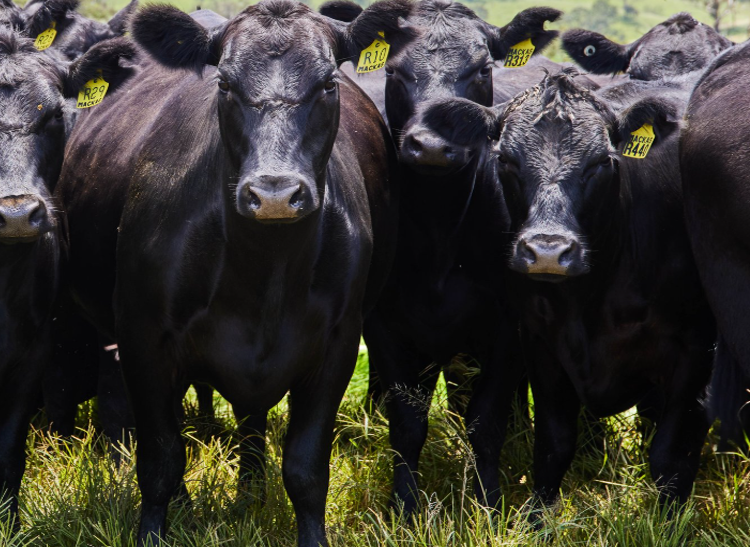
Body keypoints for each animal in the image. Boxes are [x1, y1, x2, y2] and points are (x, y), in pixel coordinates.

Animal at [55, 1, 413, 545]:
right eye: (224, 83)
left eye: (329, 83)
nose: (274, 193)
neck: (265, 269)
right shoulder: (143, 338)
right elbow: (160, 459)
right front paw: (154, 533)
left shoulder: (338, 343)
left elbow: (307, 469)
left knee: (252, 423)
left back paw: (249, 495)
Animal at [420, 69, 716, 515]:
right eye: (505, 159)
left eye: (602, 161)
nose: (547, 251)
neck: (595, 297)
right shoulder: (541, 342)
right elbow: (554, 443)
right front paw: (538, 518)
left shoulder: (695, 351)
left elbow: (670, 455)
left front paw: (669, 522)